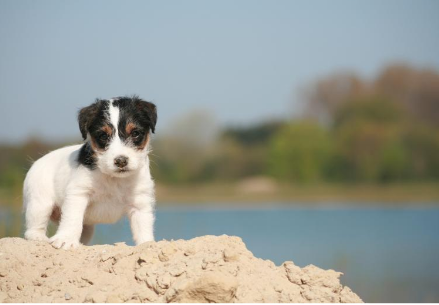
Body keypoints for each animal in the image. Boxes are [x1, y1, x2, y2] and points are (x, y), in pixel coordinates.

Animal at [23, 96, 158, 248]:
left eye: (135, 133)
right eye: (103, 136)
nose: (121, 161)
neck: (114, 178)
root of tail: (37, 162)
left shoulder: (140, 202)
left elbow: (143, 228)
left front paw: (147, 244)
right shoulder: (78, 194)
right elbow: (72, 218)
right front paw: (66, 239)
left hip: (86, 228)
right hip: (40, 204)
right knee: (34, 227)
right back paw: (38, 237)